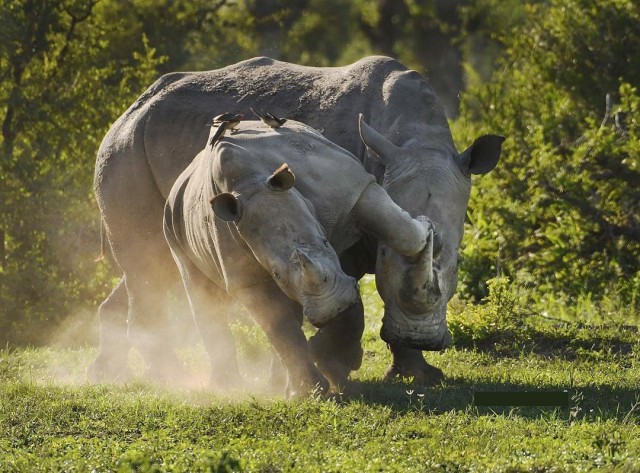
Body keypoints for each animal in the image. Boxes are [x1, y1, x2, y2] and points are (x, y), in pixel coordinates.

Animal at [90, 56, 502, 384]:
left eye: (456, 261)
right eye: (383, 255)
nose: (422, 339)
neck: (418, 140)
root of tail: (129, 110)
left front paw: (419, 374)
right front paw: (328, 361)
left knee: (151, 267)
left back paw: (106, 374)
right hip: (125, 150)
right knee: (149, 269)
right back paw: (165, 377)